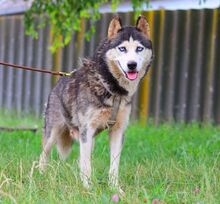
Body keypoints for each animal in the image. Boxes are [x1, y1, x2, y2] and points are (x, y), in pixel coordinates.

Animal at [39, 15, 153, 191]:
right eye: (122, 49)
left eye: (139, 49)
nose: (132, 65)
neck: (112, 88)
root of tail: (58, 83)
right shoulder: (87, 129)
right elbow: (86, 165)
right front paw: (87, 188)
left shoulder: (118, 131)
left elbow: (114, 165)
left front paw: (115, 188)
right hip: (54, 132)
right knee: (43, 155)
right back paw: (40, 176)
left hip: (87, 139)